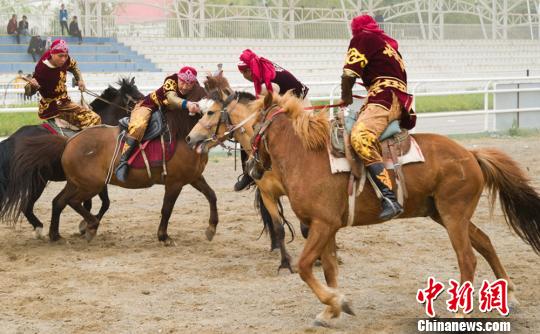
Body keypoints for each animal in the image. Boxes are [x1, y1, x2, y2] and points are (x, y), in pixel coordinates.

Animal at [0, 77, 144, 237]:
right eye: (137, 97)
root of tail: (12, 140)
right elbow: (104, 203)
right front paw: (85, 226)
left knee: (27, 207)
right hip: (37, 181)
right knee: (27, 206)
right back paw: (41, 229)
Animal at [187, 91, 540, 326]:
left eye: (210, 113)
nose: (190, 139)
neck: (303, 153)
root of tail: (471, 154)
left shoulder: (323, 224)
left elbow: (305, 266)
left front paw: (336, 301)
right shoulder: (327, 227)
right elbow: (329, 268)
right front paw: (331, 309)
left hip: (453, 216)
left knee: (468, 257)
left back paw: (461, 311)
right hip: (445, 214)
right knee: (485, 242)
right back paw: (510, 294)